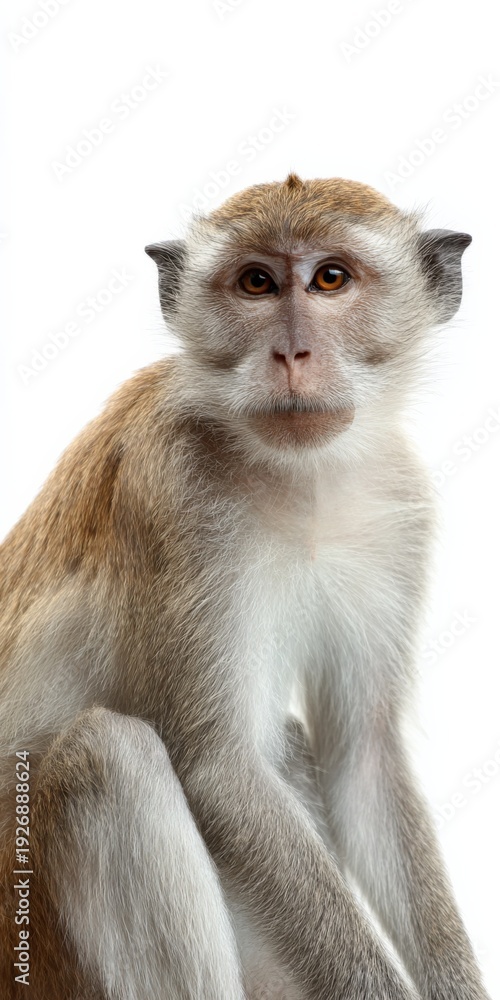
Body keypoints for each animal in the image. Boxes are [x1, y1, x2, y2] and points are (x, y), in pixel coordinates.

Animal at [0, 172, 491, 1000]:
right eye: (256, 283)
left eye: (331, 278)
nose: (291, 351)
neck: (300, 478)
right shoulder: (178, 493)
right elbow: (219, 770)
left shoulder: (398, 509)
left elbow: (362, 760)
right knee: (109, 762)